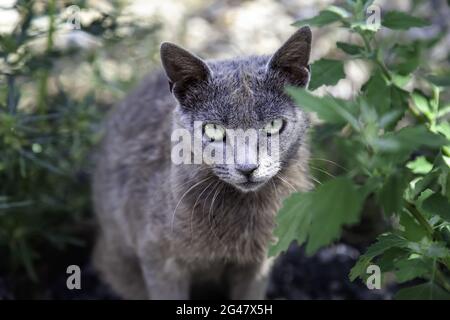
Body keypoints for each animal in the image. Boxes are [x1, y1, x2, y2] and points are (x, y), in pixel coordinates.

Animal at [92, 26, 312, 298]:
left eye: (273, 125)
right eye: (214, 130)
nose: (247, 167)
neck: (243, 211)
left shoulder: (259, 262)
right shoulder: (158, 256)